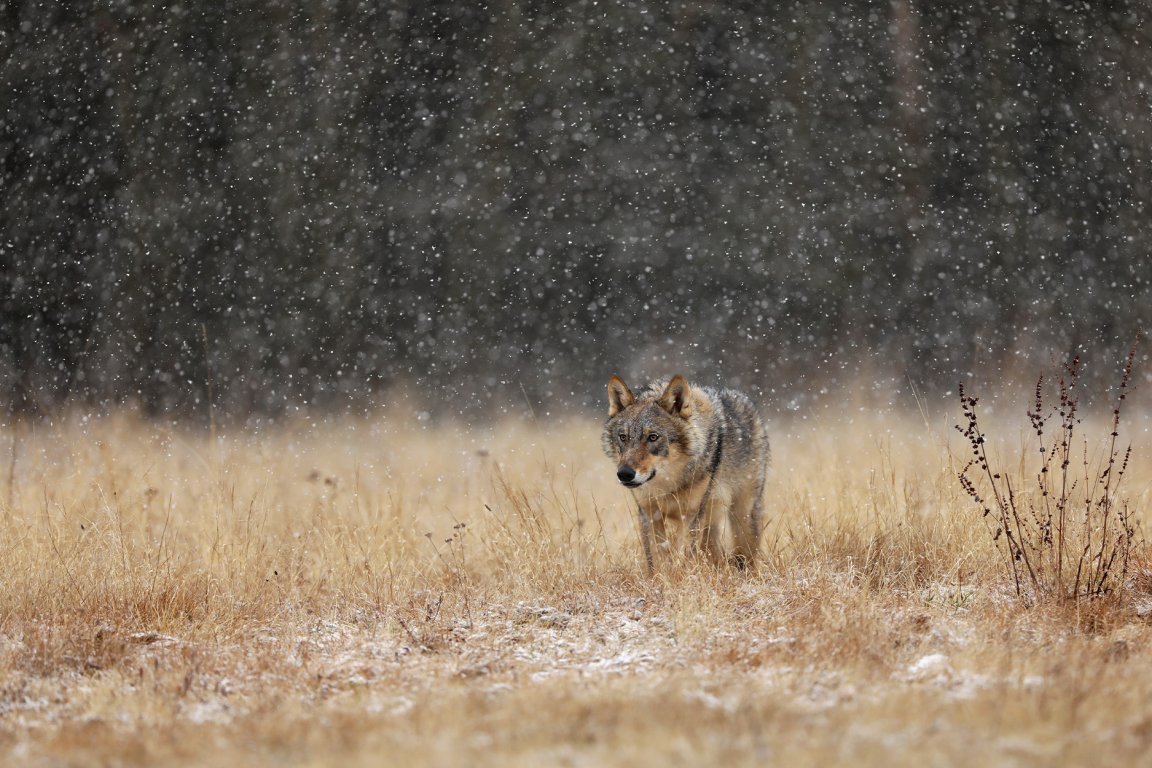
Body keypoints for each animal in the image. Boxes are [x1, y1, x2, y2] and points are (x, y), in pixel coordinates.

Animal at [601, 374, 770, 572]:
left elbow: (684, 556)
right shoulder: (649, 514)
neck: (667, 486)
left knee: (746, 555)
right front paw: (661, 578)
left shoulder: (690, 516)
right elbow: (657, 558)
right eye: (623, 437)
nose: (625, 474)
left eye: (653, 437)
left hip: (742, 516)